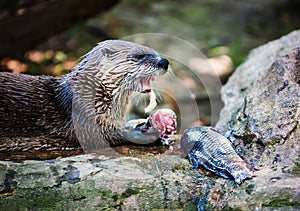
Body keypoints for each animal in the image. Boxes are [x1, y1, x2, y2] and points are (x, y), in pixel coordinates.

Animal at [0, 40, 169, 153]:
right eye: (139, 56)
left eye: (155, 53)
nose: (164, 61)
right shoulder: (79, 113)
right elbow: (96, 136)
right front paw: (143, 133)